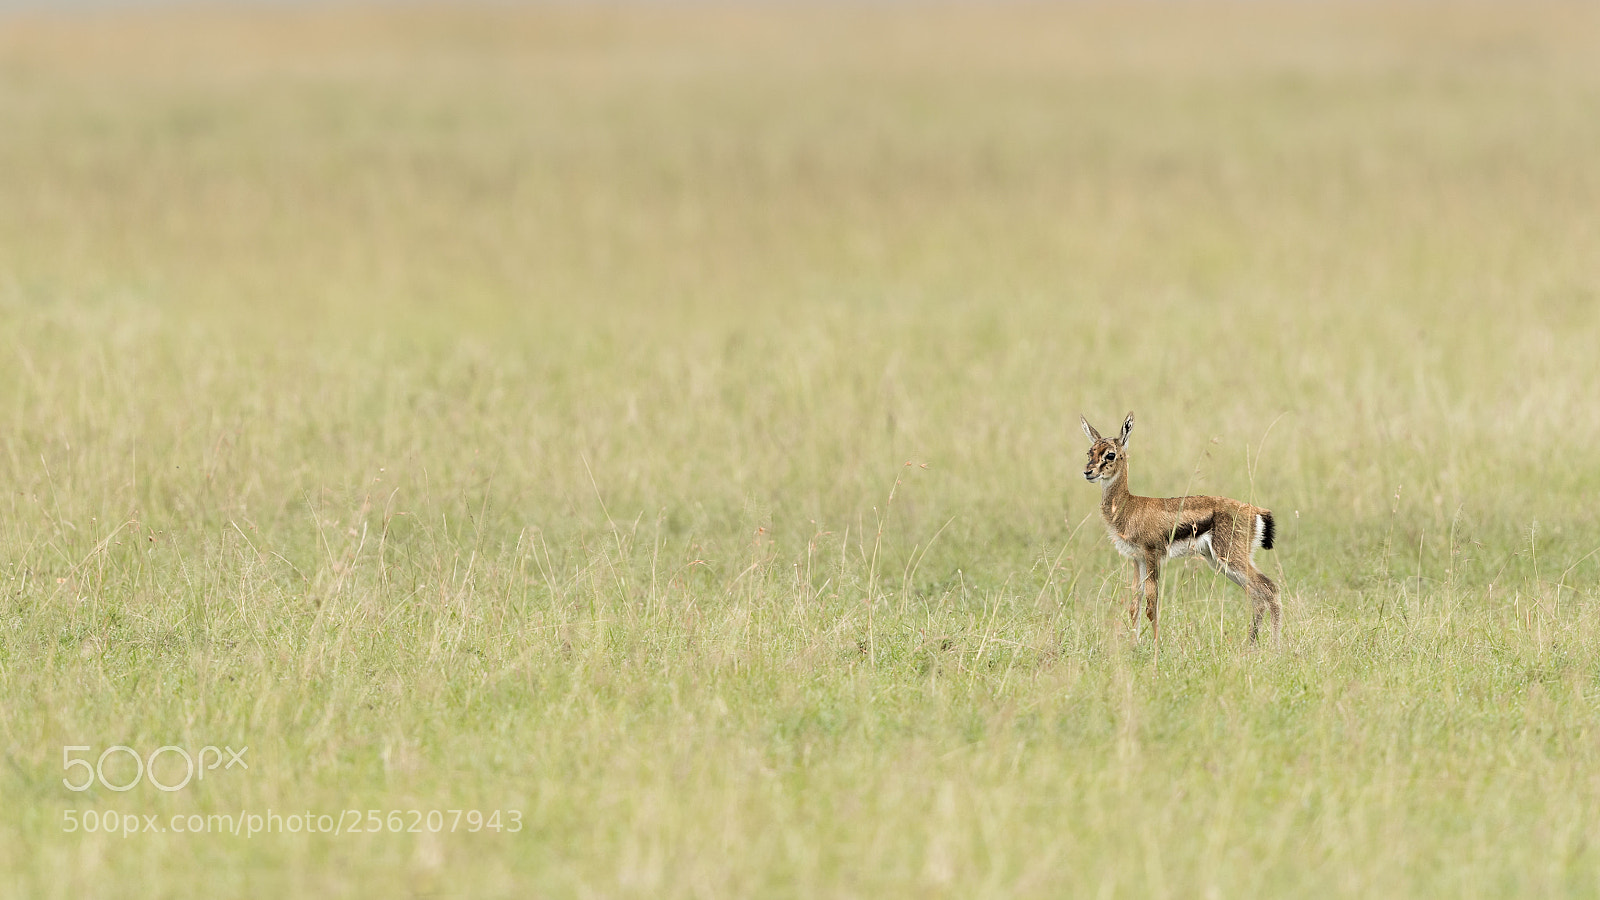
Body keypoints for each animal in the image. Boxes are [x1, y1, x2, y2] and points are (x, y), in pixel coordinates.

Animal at [1080, 412, 1281, 648]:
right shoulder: (1137, 559)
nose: (1088, 472)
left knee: (1270, 589)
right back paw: (1251, 647)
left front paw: (1156, 646)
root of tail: (1256, 510)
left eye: (1110, 454)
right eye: (1090, 451)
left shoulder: (1152, 555)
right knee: (1257, 595)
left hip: (1230, 558)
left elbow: (1151, 605)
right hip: (1220, 562)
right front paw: (1133, 646)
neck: (1129, 506)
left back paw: (1276, 648)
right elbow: (1134, 606)